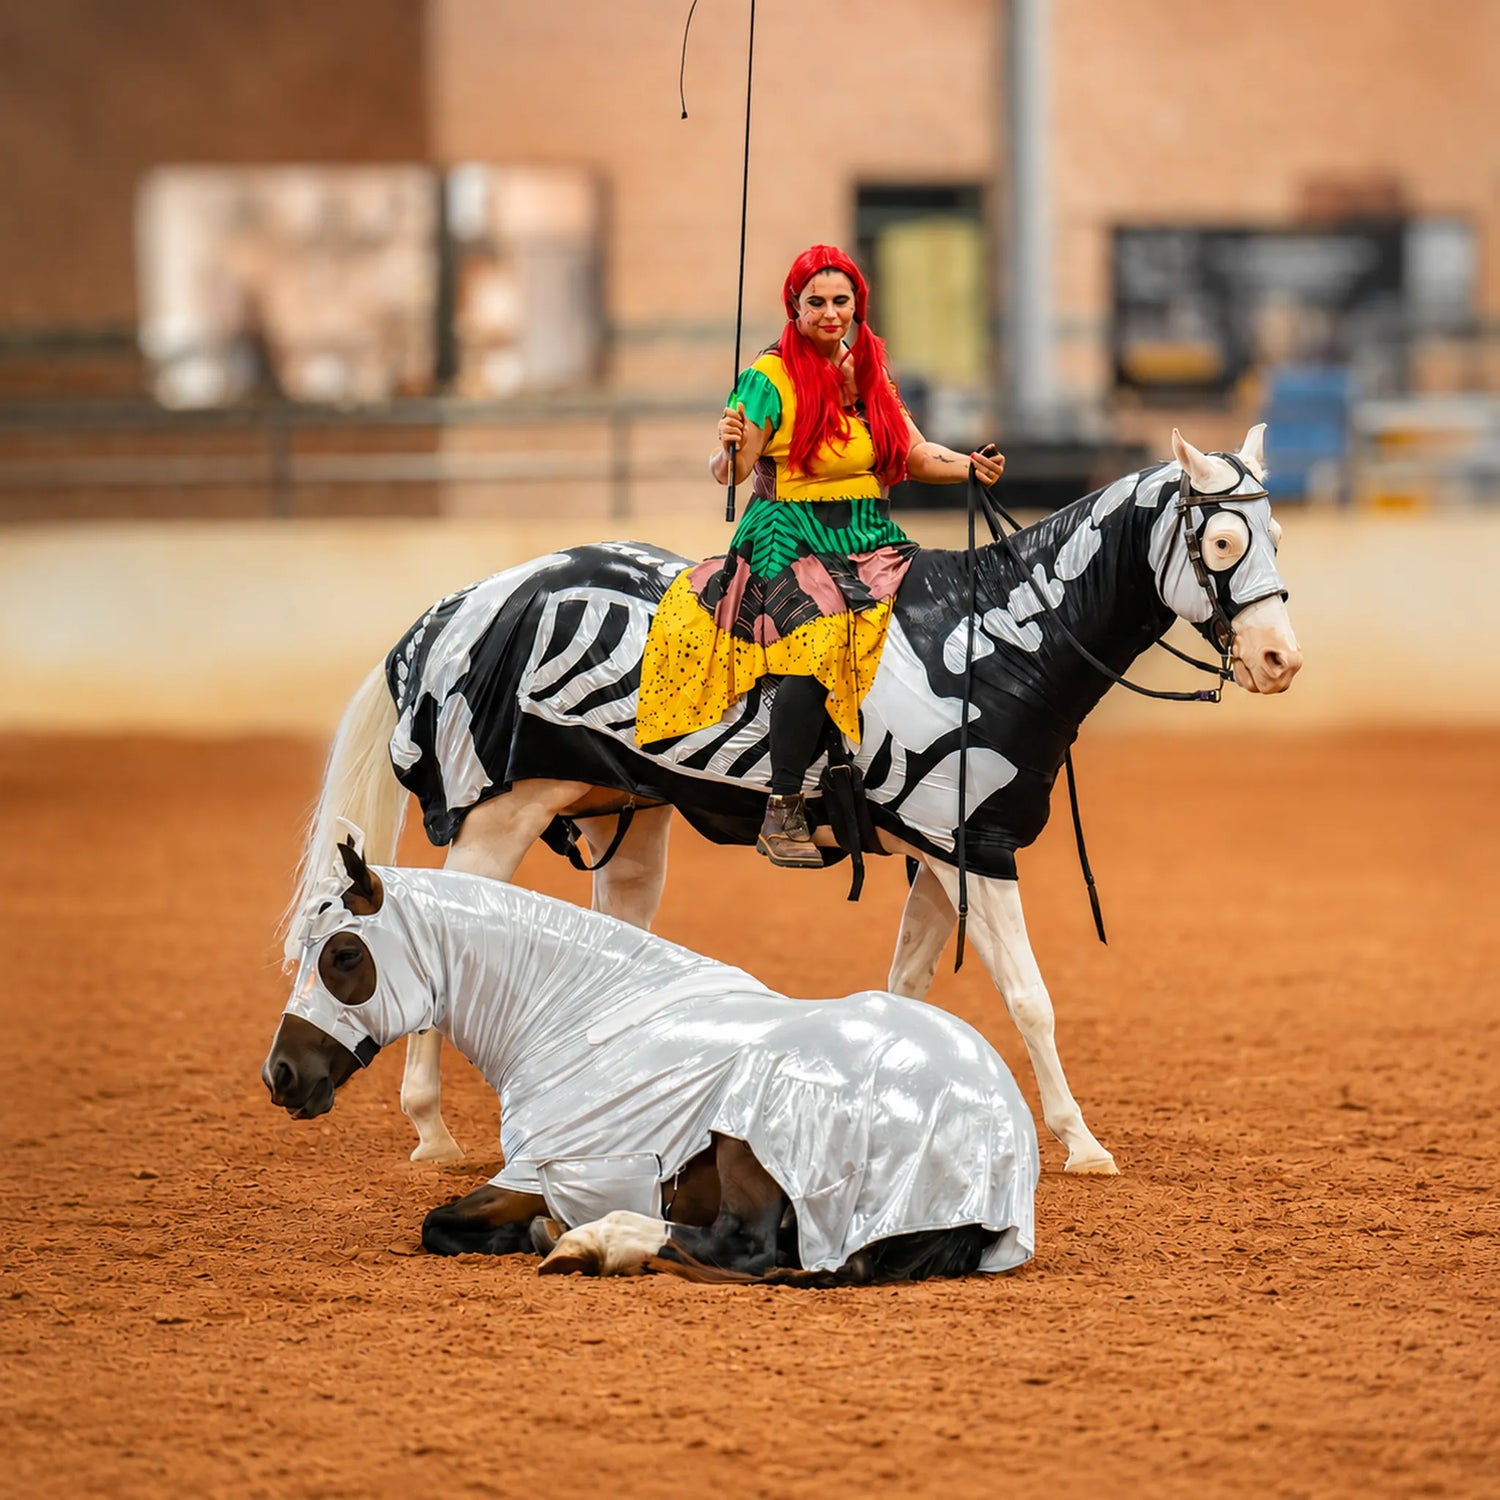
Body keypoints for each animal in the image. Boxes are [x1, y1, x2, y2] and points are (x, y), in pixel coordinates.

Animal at [264, 837, 1039, 1285]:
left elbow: (439, 1224)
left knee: (742, 1247)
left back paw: (593, 1241)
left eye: (343, 954)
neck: (577, 1020)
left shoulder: (529, 1174)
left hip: (745, 1140)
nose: (280, 1076)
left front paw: (547, 1229)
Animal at [282, 425, 1301, 1174]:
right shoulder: (971, 851)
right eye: (1220, 540)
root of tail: (460, 606)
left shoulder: (942, 854)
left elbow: (906, 989)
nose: (1280, 660)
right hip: (501, 816)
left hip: (628, 822)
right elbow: (1031, 998)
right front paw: (1082, 1144)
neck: (984, 640)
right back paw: (431, 1129)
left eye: (1277, 537)